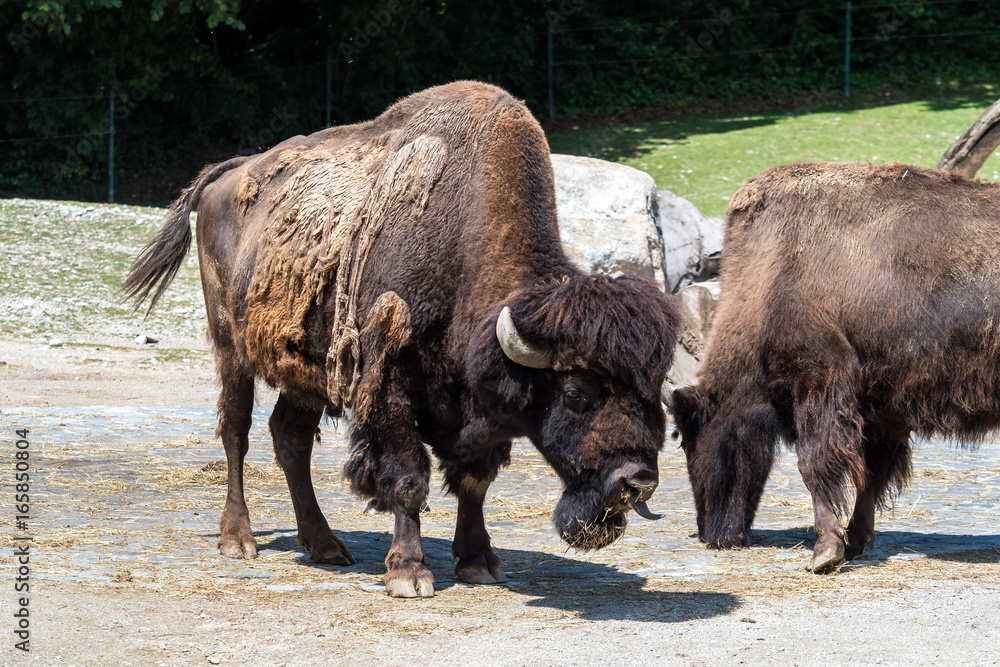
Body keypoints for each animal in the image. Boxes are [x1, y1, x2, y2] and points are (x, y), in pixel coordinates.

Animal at [121, 82, 676, 600]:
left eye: (655, 392)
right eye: (577, 393)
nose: (637, 481)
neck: (465, 244)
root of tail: (226, 176)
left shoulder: (479, 411)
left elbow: (474, 481)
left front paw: (479, 563)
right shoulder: (389, 386)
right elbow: (409, 478)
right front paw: (409, 574)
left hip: (308, 369)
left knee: (290, 438)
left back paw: (325, 545)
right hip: (231, 348)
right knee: (236, 431)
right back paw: (239, 540)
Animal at [668, 162, 1000, 576]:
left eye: (691, 437)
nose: (709, 535)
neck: (771, 268)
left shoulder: (820, 380)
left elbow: (814, 463)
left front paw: (825, 551)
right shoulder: (878, 412)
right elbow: (869, 475)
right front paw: (854, 542)